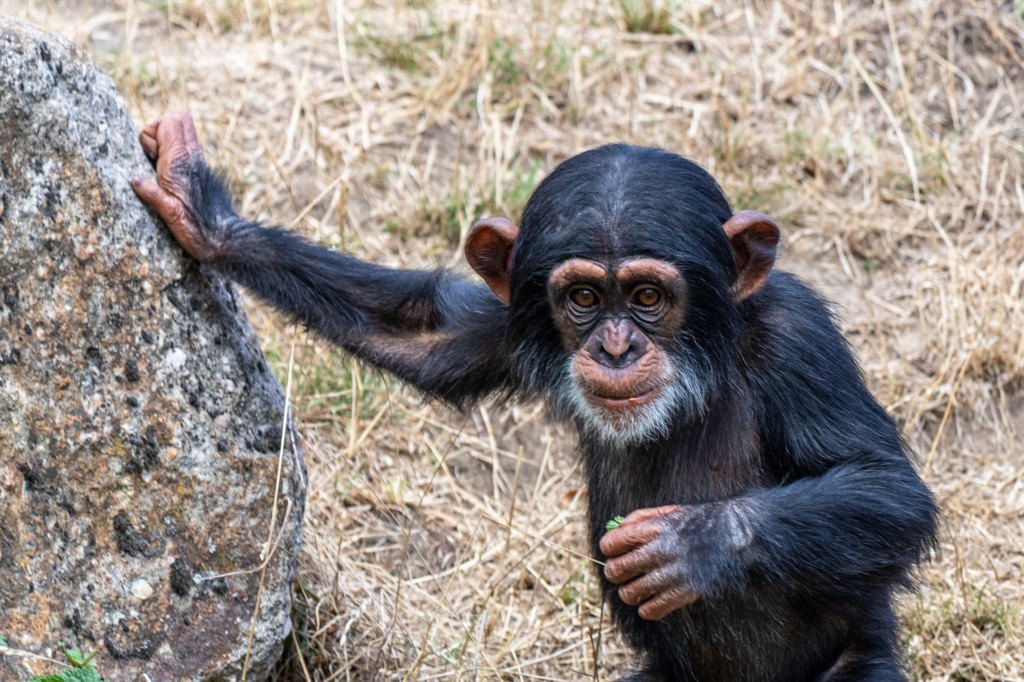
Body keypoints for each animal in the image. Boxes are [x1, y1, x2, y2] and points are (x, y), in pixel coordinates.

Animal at [134, 109, 937, 675]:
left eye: (648, 296)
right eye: (582, 297)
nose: (616, 346)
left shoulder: (799, 340)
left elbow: (887, 485)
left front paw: (692, 542)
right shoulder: (515, 315)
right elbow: (426, 334)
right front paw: (204, 212)